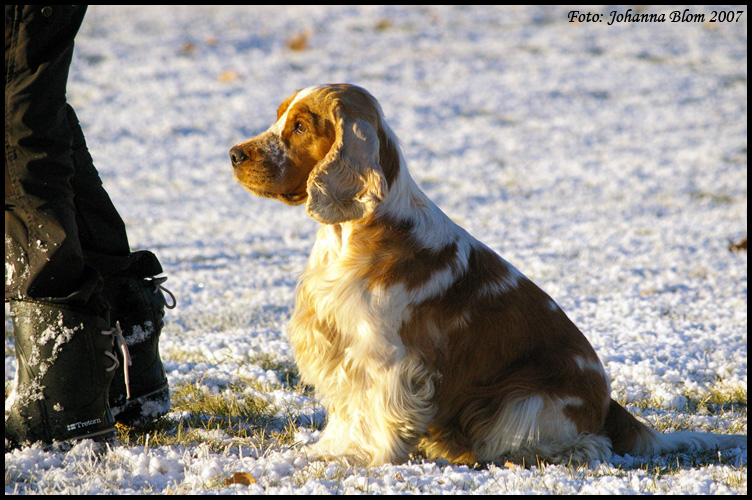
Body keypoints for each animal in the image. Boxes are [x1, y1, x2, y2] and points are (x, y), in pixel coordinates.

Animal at [231, 85, 748, 464]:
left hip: (521, 398)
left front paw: (368, 459)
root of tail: (609, 407)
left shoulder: (383, 357)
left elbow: (375, 411)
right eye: (279, 116)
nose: (235, 154)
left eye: (299, 126)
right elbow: (345, 410)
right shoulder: (335, 346)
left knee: (583, 444)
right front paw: (332, 449)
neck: (349, 235)